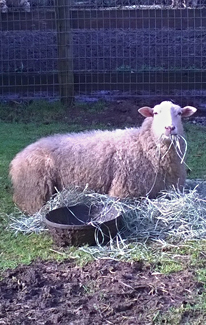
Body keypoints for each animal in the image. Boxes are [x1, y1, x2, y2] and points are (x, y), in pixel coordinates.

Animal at [9, 100, 196, 214]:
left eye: (180, 113)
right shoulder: (122, 191)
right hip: (35, 189)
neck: (143, 146)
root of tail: (18, 157)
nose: (169, 128)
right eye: (156, 113)